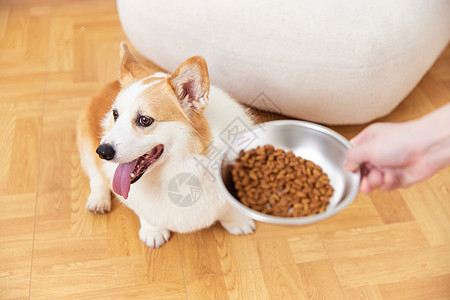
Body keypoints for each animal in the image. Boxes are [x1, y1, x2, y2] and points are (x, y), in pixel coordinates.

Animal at [77, 42, 256, 248]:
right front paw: (153, 232)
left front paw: (238, 222)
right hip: (86, 146)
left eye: (144, 120)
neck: (180, 169)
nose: (102, 152)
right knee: (96, 177)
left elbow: (227, 208)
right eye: (115, 114)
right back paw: (98, 201)